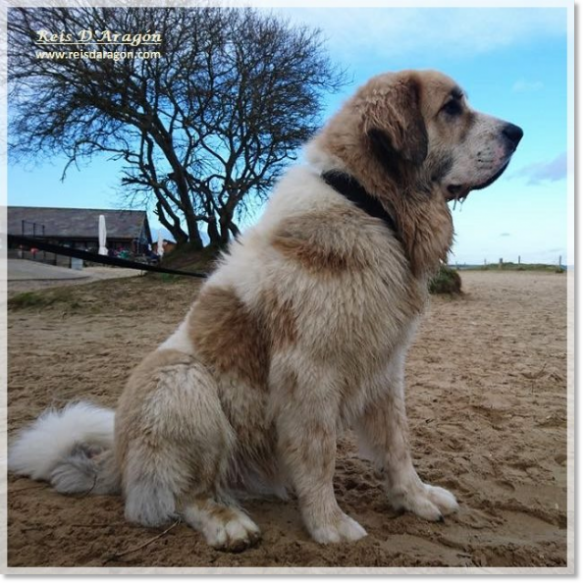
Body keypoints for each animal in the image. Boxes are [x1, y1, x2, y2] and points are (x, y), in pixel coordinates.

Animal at [8, 70, 520, 548]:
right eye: (451, 107)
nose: (517, 131)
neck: (369, 206)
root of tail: (115, 460)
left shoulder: (385, 366)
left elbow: (397, 443)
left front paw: (415, 498)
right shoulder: (309, 372)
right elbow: (318, 453)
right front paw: (328, 524)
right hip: (182, 381)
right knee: (174, 497)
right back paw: (227, 523)